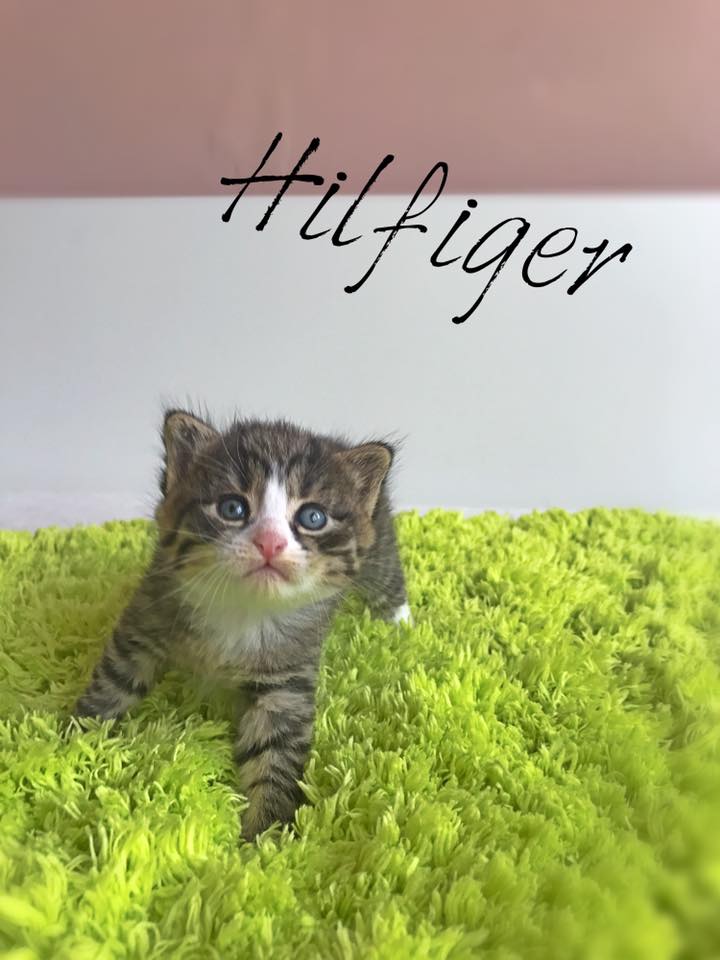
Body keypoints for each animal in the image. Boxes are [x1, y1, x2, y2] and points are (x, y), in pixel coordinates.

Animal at [74, 409, 410, 840]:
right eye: (232, 508)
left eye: (313, 517)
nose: (270, 542)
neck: (244, 610)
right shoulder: (148, 614)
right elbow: (112, 683)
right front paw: (73, 739)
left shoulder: (286, 678)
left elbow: (276, 751)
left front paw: (265, 838)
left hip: (380, 546)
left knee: (389, 583)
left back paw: (402, 626)